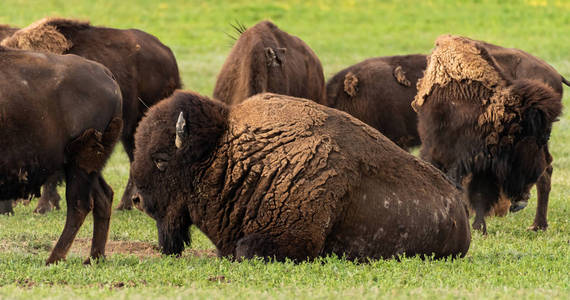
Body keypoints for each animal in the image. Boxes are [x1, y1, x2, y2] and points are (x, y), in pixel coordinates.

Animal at [0, 45, 123, 264]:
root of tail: (106, 74)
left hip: (79, 162)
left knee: (79, 205)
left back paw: (54, 259)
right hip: (88, 165)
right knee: (103, 197)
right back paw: (94, 258)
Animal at [131, 91, 468, 260]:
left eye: (160, 159)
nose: (136, 200)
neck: (226, 153)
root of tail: (460, 210)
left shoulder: (294, 240)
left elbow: (245, 249)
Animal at [410, 35, 560, 234]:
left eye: (546, 136)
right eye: (540, 137)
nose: (522, 199)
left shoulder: (481, 164)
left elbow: (479, 194)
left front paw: (479, 228)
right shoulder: (439, 152)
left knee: (546, 176)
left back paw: (537, 225)